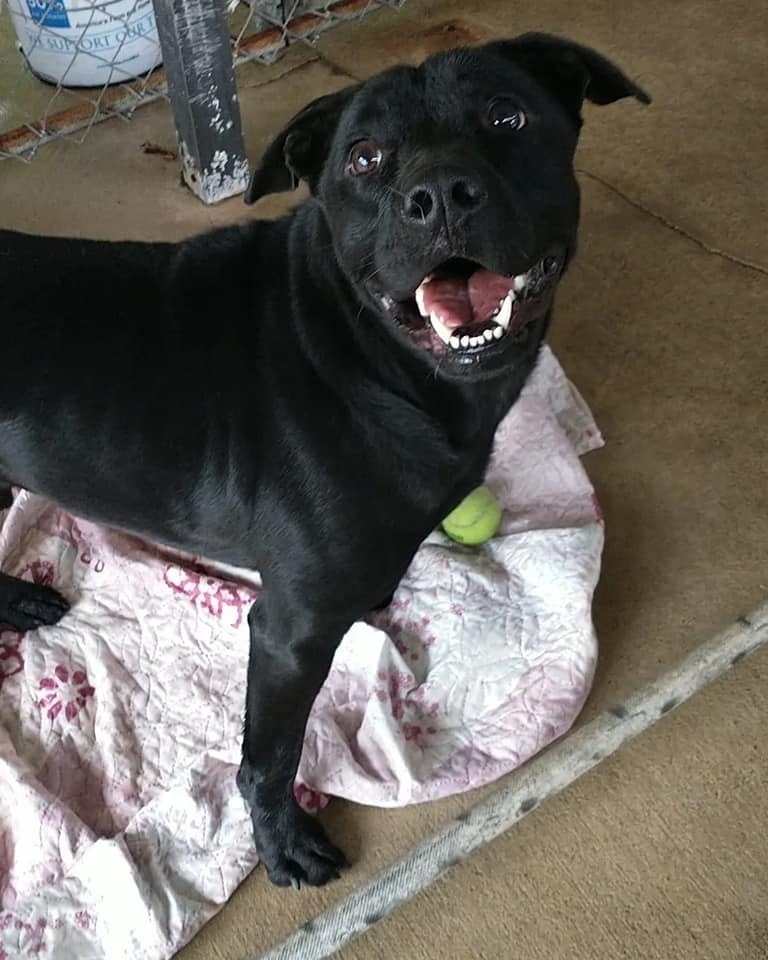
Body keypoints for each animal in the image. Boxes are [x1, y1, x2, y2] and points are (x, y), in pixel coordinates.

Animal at [0, 33, 648, 888]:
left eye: (507, 115)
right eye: (365, 158)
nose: (440, 194)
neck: (369, 357)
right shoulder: (289, 630)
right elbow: (269, 758)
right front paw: (282, 843)